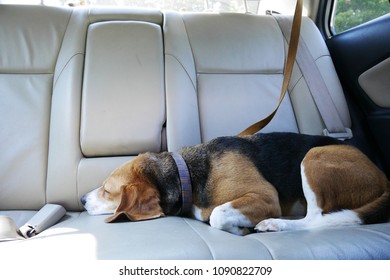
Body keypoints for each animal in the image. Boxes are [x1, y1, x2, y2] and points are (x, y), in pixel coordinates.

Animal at [80, 132, 390, 235]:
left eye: (107, 190)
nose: (82, 200)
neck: (187, 173)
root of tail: (383, 176)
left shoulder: (265, 196)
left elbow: (217, 215)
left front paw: (240, 227)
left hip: (313, 156)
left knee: (315, 218)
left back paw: (275, 224)